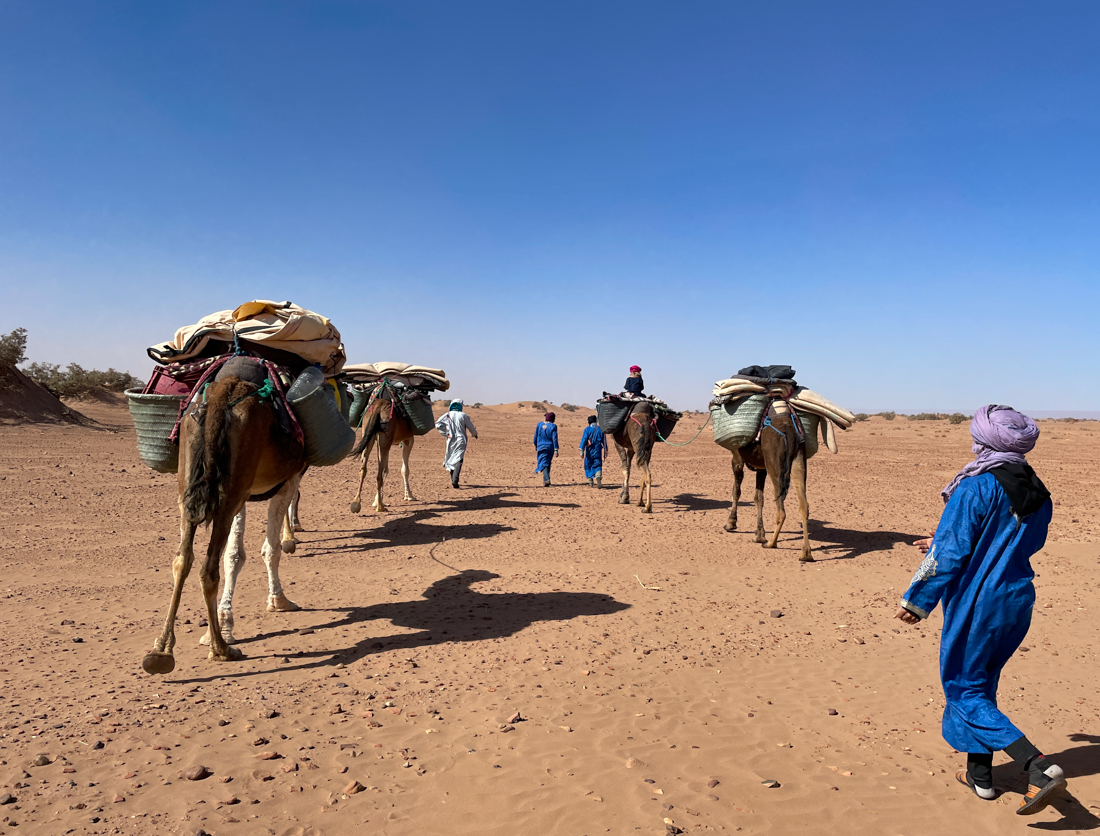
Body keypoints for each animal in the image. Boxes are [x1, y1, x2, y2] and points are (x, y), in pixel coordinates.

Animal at [143, 365, 305, 673]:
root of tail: (222, 393)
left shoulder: (242, 493)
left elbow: (234, 554)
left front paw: (224, 622)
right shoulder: (286, 481)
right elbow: (270, 550)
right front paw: (279, 600)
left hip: (192, 483)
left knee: (182, 559)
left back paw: (161, 649)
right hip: (231, 488)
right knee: (207, 568)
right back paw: (221, 648)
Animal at [349, 387, 413, 517]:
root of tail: (379, 407)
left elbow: (386, 469)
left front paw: (377, 499)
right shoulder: (409, 439)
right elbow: (404, 470)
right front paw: (409, 496)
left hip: (369, 432)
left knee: (363, 468)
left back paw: (356, 503)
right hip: (385, 437)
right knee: (378, 474)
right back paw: (380, 507)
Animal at [721, 404, 809, 561]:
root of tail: (789, 430)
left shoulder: (737, 458)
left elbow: (736, 491)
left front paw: (731, 523)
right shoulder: (762, 469)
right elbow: (759, 498)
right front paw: (759, 534)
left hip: (775, 464)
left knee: (781, 510)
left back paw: (771, 543)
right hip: (799, 459)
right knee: (804, 505)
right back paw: (806, 553)